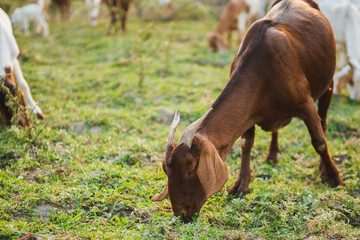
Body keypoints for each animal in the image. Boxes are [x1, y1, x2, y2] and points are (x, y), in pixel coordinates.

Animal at [151, 0, 344, 222]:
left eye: (191, 170)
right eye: (165, 169)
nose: (181, 214)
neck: (264, 70)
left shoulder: (305, 103)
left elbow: (319, 142)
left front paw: (336, 179)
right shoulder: (250, 115)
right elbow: (246, 143)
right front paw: (241, 185)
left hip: (328, 84)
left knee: (324, 122)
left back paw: (323, 169)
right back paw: (272, 156)